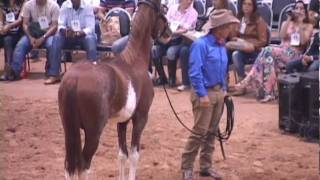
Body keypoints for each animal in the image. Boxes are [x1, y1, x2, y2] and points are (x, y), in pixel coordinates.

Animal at [58, 0, 171, 179]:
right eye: (163, 10)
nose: (169, 33)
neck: (134, 60)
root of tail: (73, 80)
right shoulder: (140, 117)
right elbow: (134, 154)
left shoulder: (122, 120)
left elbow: (122, 154)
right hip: (93, 133)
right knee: (84, 165)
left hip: (69, 130)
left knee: (69, 166)